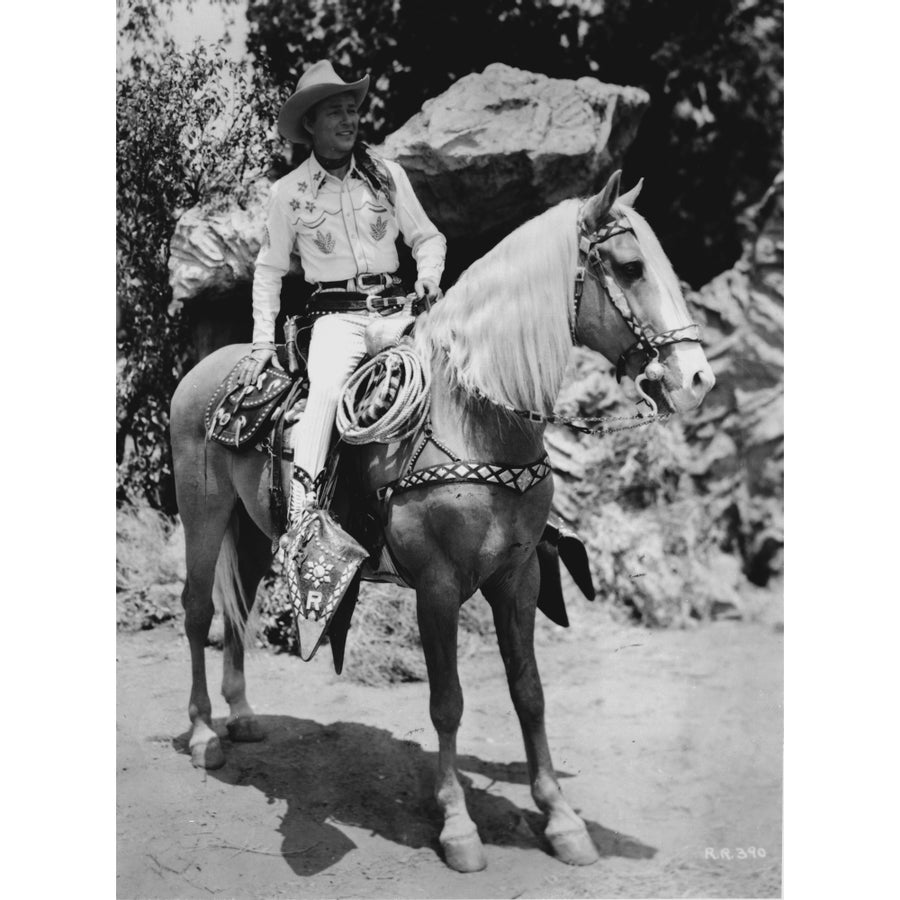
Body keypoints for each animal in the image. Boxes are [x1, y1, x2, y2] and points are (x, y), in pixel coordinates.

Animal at [171, 171, 716, 872]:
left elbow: (529, 692)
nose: (697, 378)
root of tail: (207, 370)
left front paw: (561, 819)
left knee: (237, 608)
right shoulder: (437, 586)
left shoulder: (517, 579)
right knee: (197, 612)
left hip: (255, 533)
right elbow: (448, 702)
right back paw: (204, 733)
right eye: (629, 266)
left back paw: (240, 716)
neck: (475, 420)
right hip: (203, 516)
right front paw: (457, 825)